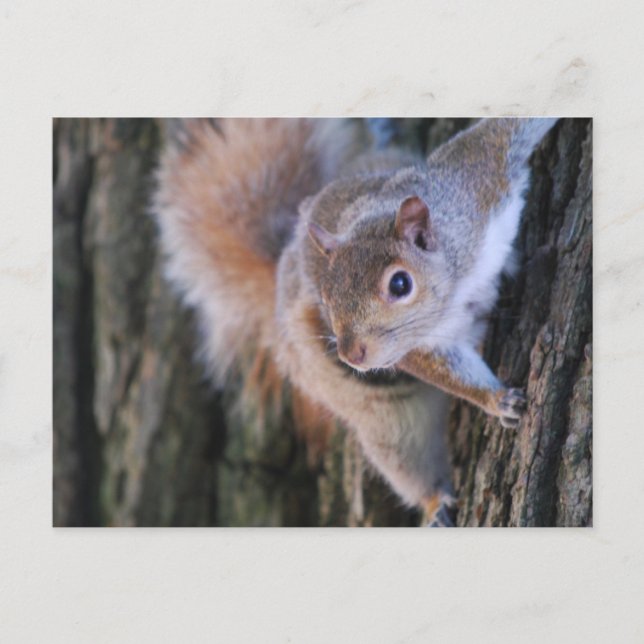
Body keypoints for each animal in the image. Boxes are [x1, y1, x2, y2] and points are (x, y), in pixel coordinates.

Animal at [154, 117, 557, 526]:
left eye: (400, 284)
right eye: (326, 298)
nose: (352, 355)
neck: (454, 290)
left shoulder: (478, 184)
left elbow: (504, 134)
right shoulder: (414, 345)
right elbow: (447, 370)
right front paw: (497, 399)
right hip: (381, 417)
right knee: (407, 459)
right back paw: (435, 504)